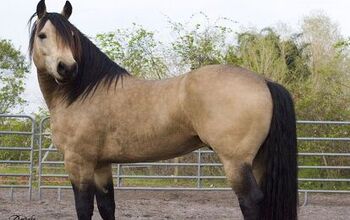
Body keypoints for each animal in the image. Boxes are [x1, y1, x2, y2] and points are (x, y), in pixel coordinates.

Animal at [29, 0, 298, 219]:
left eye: (72, 36)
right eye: (42, 35)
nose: (67, 68)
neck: (82, 93)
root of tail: (264, 81)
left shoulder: (78, 162)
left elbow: (83, 208)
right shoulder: (100, 164)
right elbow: (107, 206)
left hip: (236, 162)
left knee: (251, 201)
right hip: (258, 160)